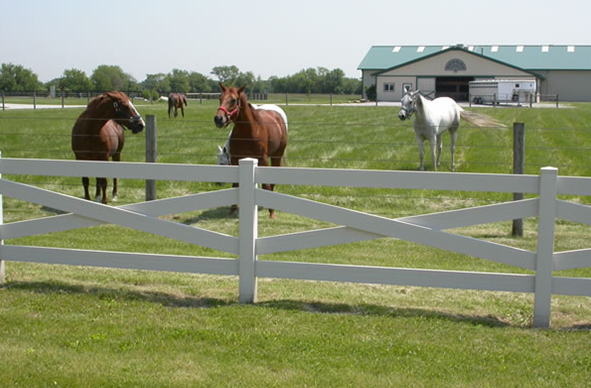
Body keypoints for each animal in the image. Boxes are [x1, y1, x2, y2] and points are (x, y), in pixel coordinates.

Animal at [215, 82, 290, 218]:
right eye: (220, 98)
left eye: (233, 100)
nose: (218, 119)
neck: (248, 131)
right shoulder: (236, 159)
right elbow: (236, 184)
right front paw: (232, 209)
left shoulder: (263, 159)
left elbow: (266, 184)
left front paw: (272, 212)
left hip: (277, 155)